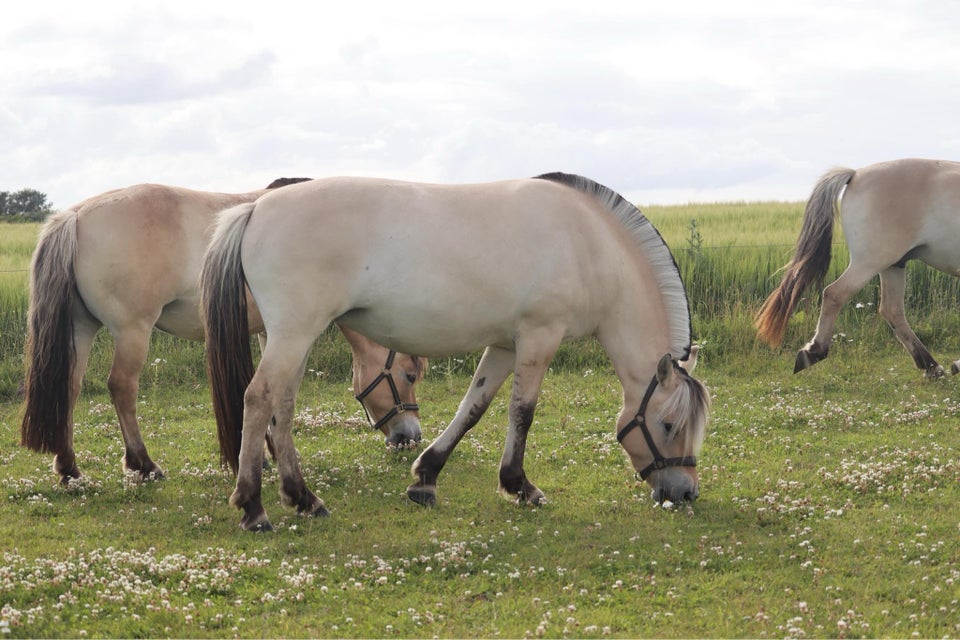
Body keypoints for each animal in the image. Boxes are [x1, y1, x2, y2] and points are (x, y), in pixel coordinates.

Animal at [17, 180, 424, 484]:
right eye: (409, 375)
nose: (411, 437)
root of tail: (75, 216)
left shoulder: (270, 333)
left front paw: (266, 453)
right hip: (132, 332)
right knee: (121, 388)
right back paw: (143, 463)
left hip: (81, 327)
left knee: (68, 388)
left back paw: (69, 467)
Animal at [201, 172, 712, 532]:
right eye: (669, 425)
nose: (684, 492)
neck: (588, 243)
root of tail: (256, 208)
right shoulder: (538, 336)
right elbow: (522, 412)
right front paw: (520, 486)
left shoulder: (505, 344)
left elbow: (474, 406)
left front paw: (426, 476)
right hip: (292, 334)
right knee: (258, 400)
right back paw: (253, 506)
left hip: (295, 338)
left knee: (282, 408)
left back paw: (303, 498)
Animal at [752, 158, 960, 378]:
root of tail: (855, 174)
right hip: (870, 262)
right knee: (835, 294)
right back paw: (813, 352)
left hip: (893, 264)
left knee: (892, 310)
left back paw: (931, 366)